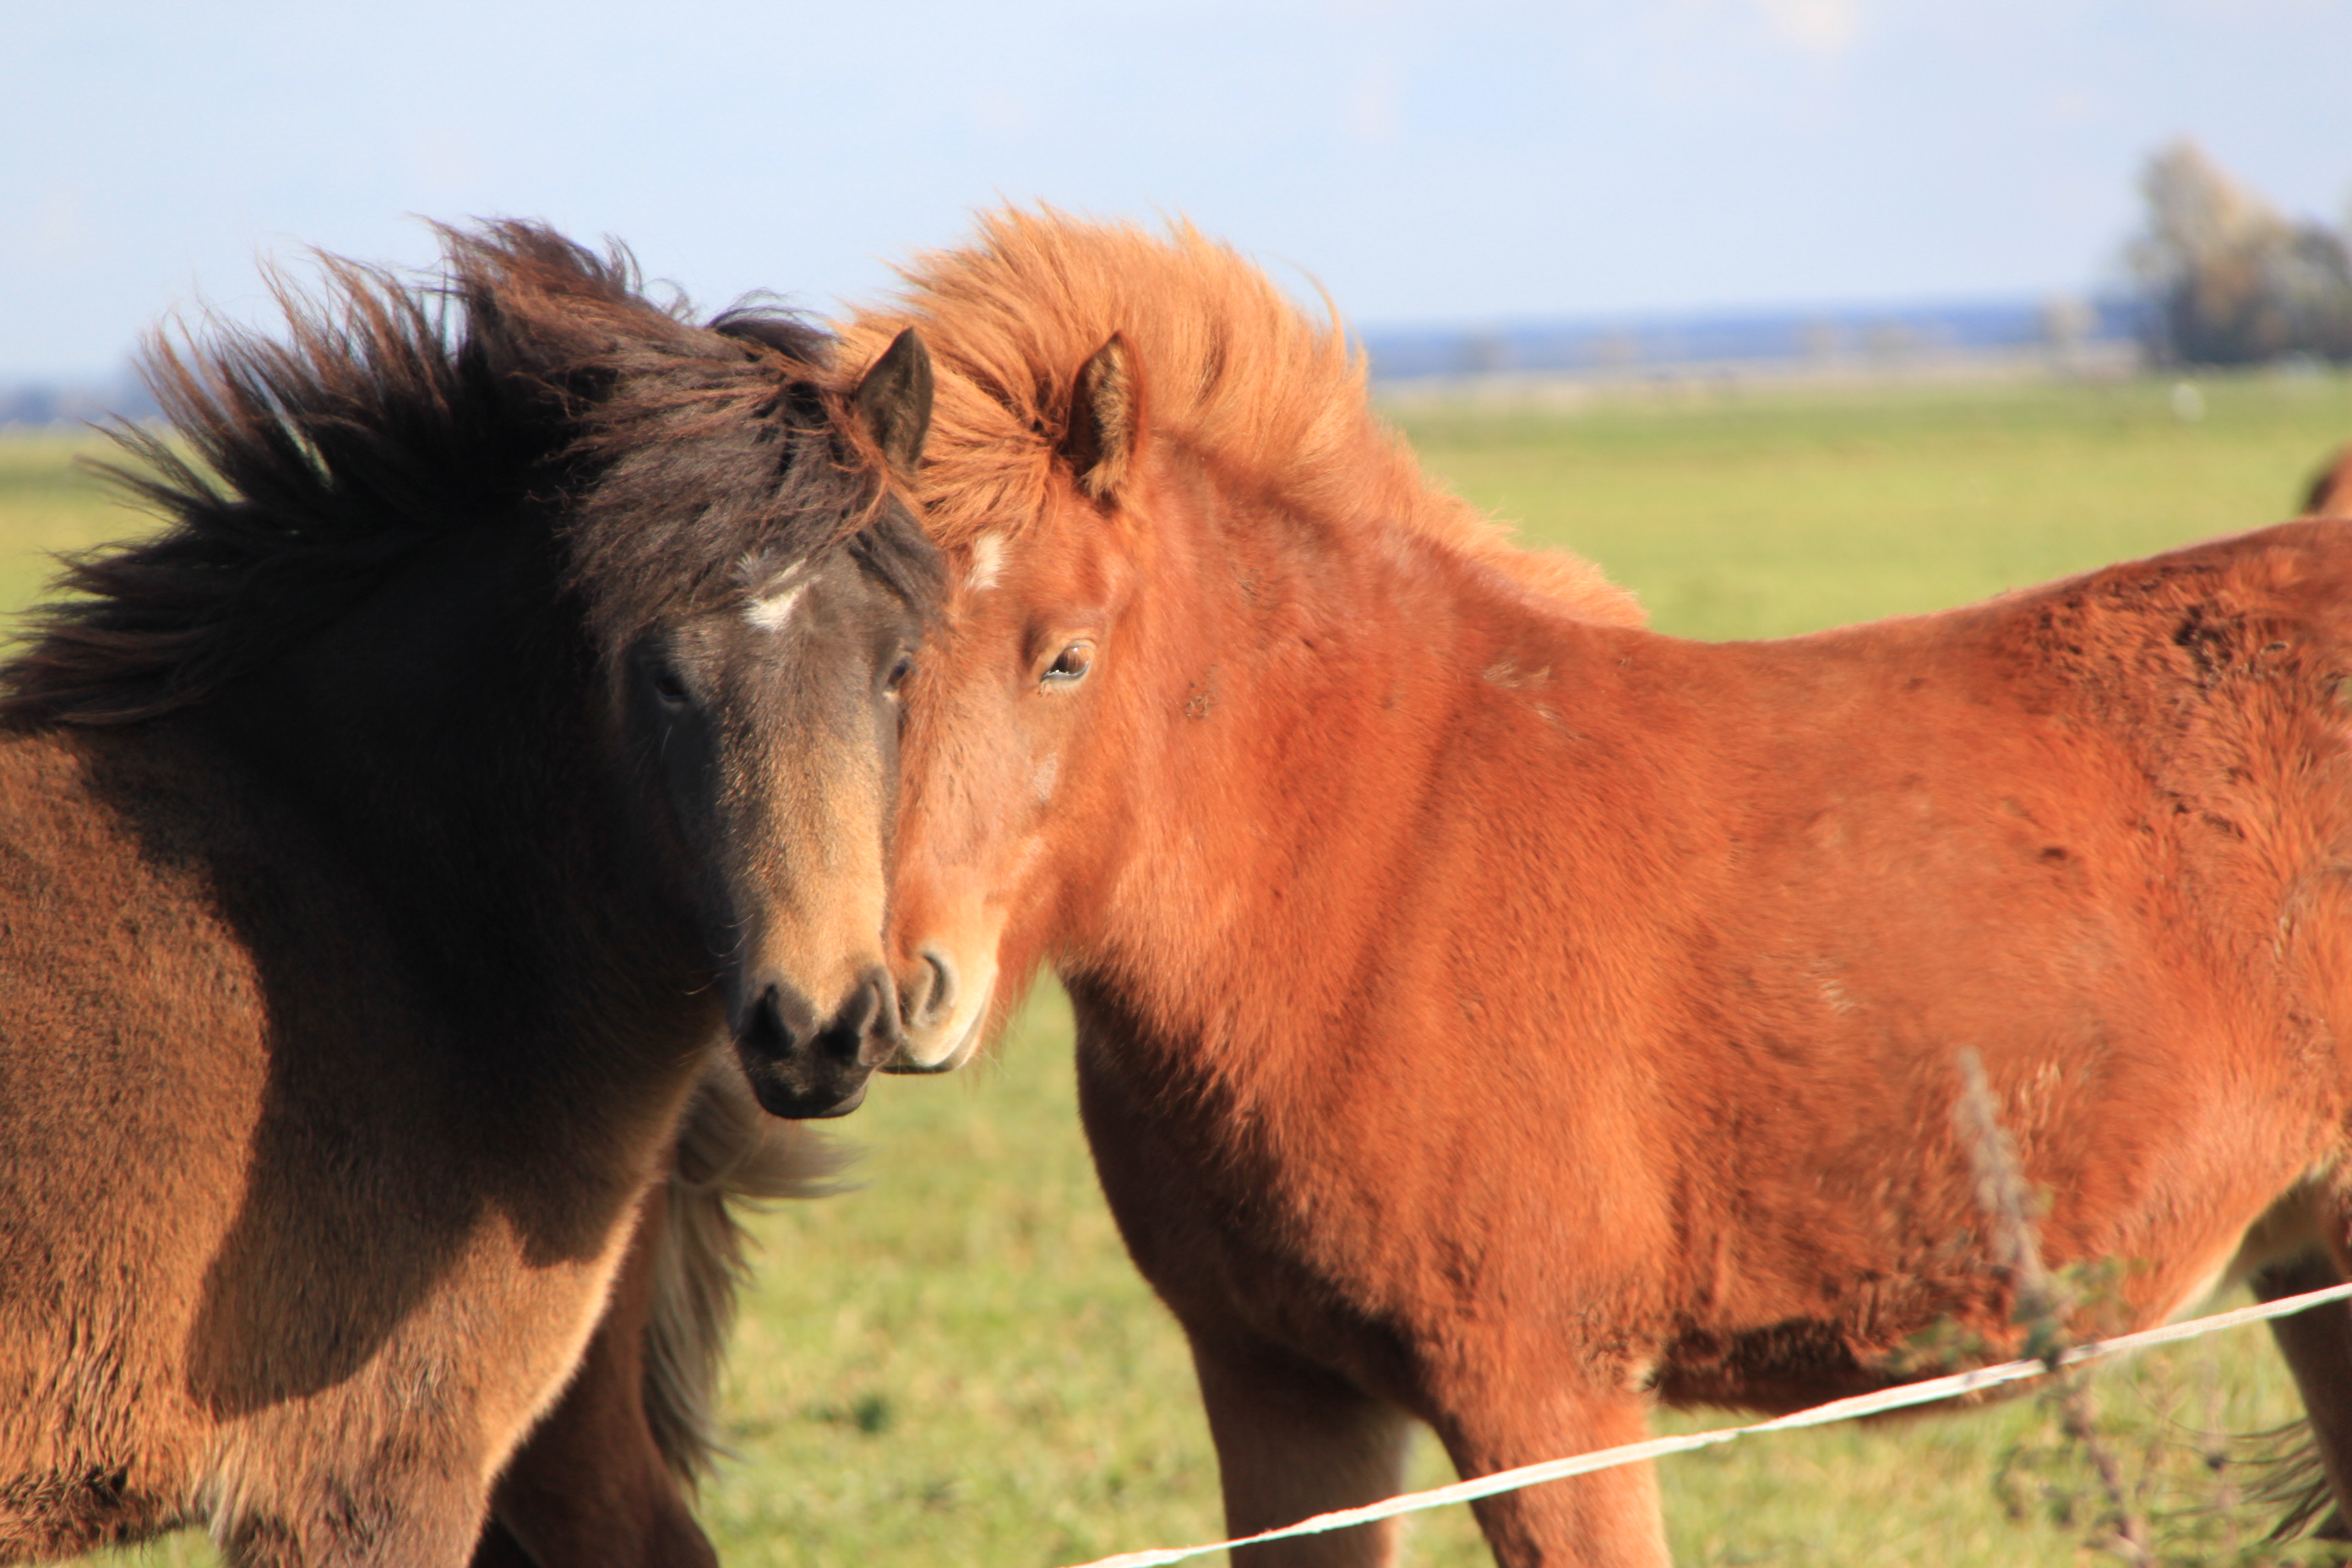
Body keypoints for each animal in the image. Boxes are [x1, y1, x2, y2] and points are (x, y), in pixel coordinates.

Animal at [812, 208, 2352, 1567]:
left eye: (1065, 655)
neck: (1363, 859)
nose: (889, 995)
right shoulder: (1281, 1389)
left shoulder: (1544, 1393)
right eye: (850, 651)